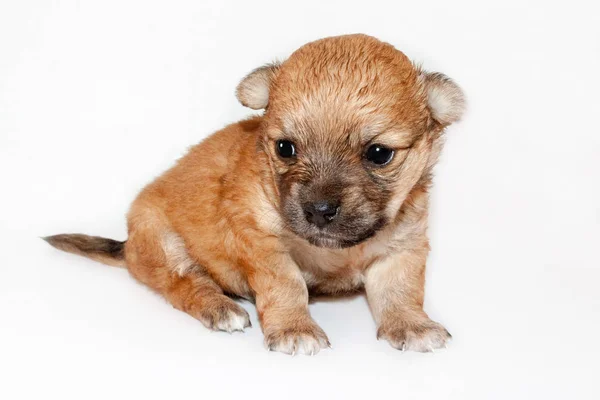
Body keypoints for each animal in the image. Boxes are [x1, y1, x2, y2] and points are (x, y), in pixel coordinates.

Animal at [45, 33, 464, 354]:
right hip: (159, 238)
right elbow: (287, 286)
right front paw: (295, 329)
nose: (319, 209)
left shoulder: (403, 246)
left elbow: (401, 291)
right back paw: (220, 307)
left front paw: (412, 325)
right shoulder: (262, 243)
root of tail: (128, 245)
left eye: (378, 154)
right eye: (285, 148)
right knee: (183, 282)